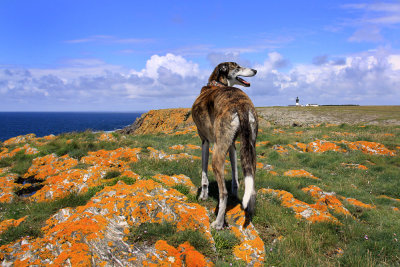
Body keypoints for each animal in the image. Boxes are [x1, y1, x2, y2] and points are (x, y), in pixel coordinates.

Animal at [191, 62, 260, 230]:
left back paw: (218, 222)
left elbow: (204, 175)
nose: (255, 70)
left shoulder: (205, 141)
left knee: (223, 193)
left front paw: (203, 196)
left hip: (217, 154)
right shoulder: (232, 146)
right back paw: (249, 215)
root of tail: (241, 105)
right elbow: (235, 175)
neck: (215, 84)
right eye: (238, 67)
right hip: (250, 150)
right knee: (252, 189)